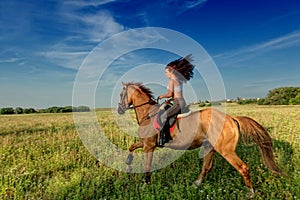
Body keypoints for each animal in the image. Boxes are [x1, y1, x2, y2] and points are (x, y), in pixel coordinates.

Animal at [116, 81, 282, 197]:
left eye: (120, 94)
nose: (119, 109)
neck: (148, 114)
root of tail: (231, 118)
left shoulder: (149, 146)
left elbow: (147, 165)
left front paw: (145, 184)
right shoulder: (144, 143)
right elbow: (131, 148)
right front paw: (128, 167)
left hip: (225, 150)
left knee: (243, 167)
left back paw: (250, 193)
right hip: (210, 146)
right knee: (206, 167)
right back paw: (195, 184)